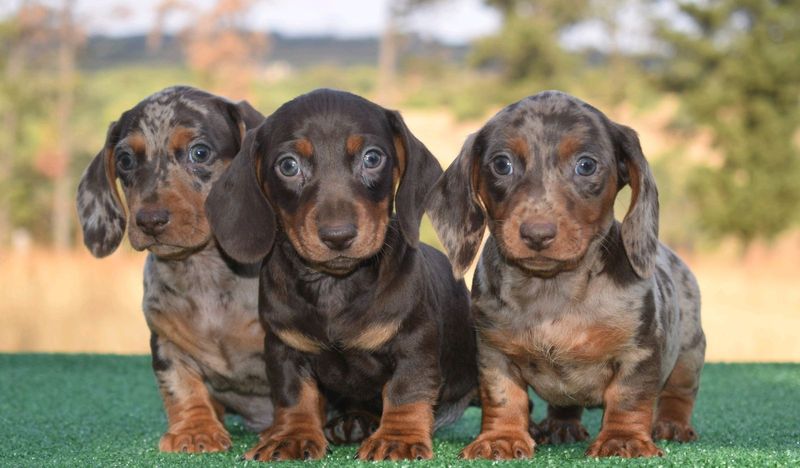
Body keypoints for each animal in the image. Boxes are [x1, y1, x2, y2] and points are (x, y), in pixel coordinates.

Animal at [76, 86, 268, 452]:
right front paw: (196, 430)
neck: (205, 273)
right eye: (125, 160)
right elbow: (181, 387)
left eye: (200, 152)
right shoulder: (166, 342)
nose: (150, 221)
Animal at [208, 88, 482, 460]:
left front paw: (398, 437)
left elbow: (405, 391)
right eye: (288, 165)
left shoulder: (413, 342)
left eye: (372, 158)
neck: (334, 286)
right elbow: (295, 395)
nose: (338, 236)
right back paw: (352, 421)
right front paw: (290, 436)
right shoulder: (283, 347)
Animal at [428, 89, 704, 458]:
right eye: (502, 164)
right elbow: (503, 396)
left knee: (679, 394)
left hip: (689, 353)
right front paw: (501, 438)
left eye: (586, 165)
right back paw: (562, 425)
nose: (537, 234)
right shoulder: (493, 352)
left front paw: (623, 439)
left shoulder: (638, 352)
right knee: (564, 404)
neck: (553, 290)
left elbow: (629, 397)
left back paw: (672, 424)